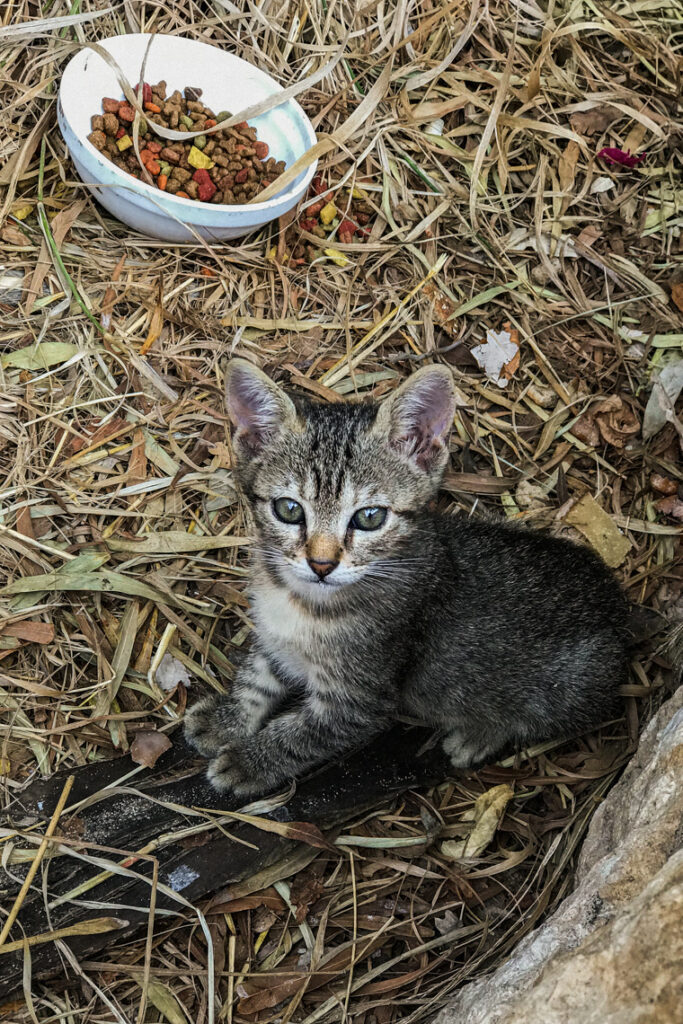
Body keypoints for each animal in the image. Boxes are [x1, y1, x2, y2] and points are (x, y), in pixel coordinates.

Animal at [183, 356, 630, 794]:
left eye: (369, 517)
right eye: (289, 509)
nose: (322, 564)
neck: (302, 602)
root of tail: (617, 602)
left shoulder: (360, 701)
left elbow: (302, 735)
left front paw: (250, 761)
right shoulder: (276, 639)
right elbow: (257, 675)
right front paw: (227, 719)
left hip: (563, 689)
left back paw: (479, 735)